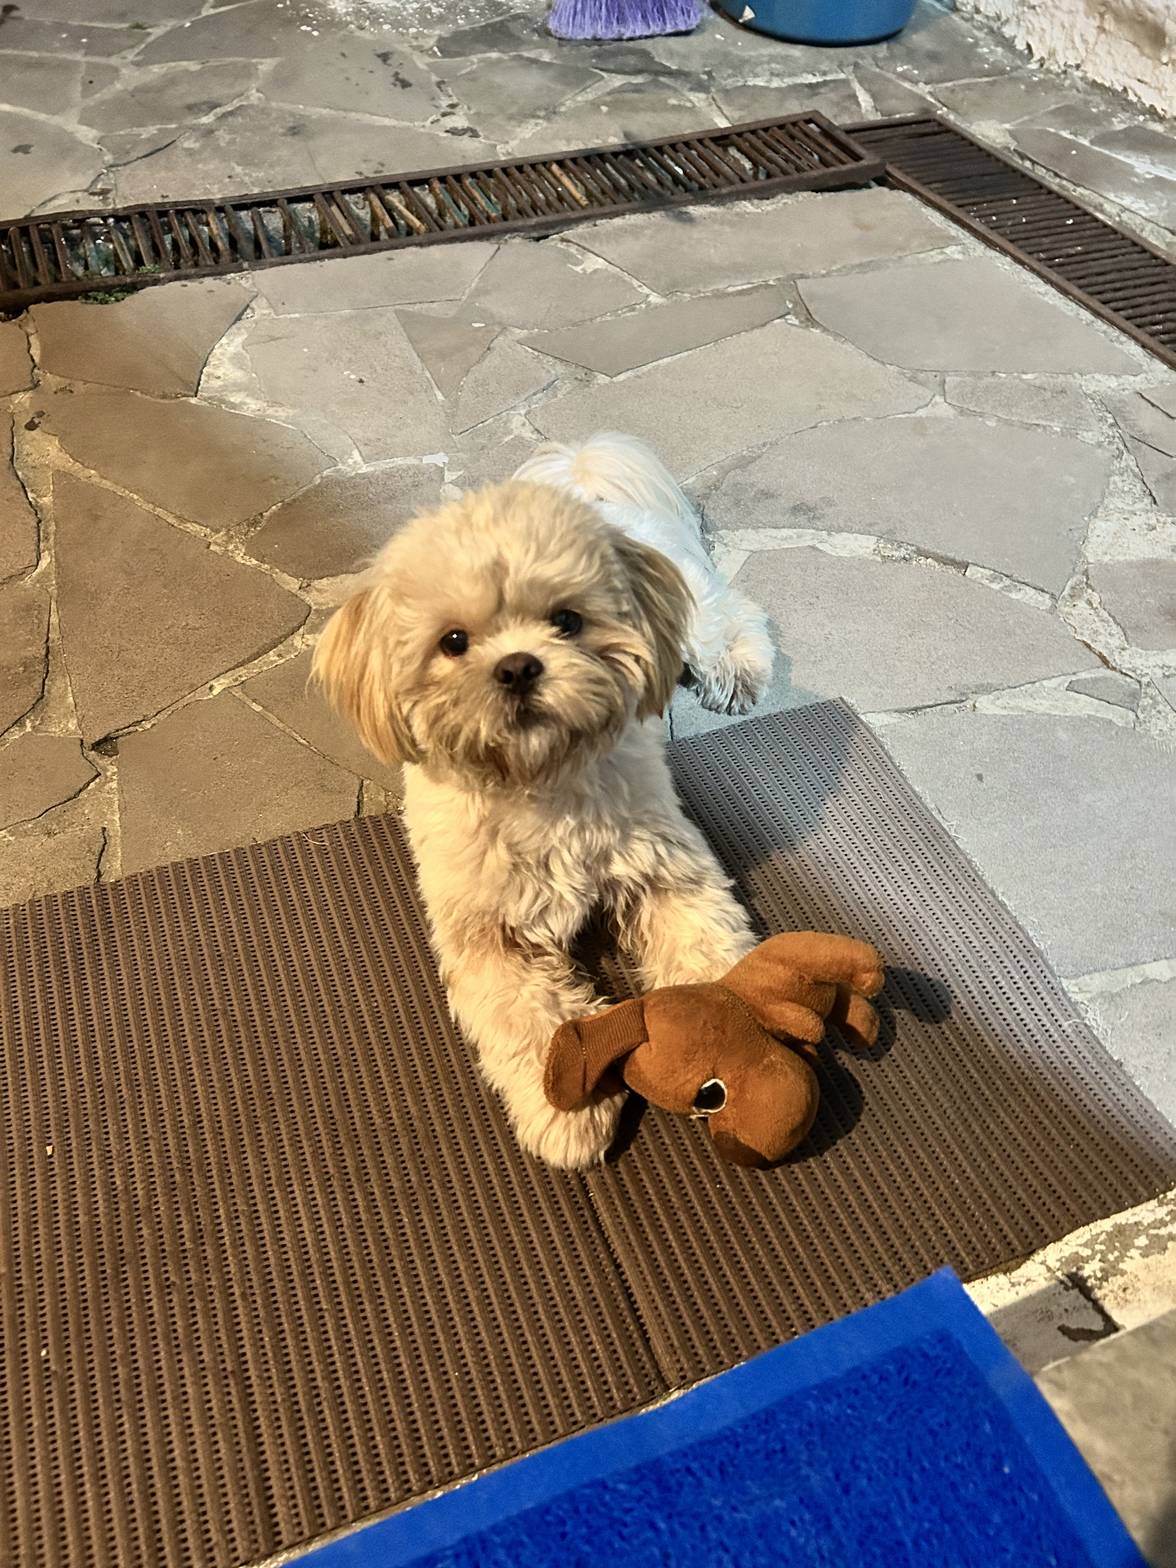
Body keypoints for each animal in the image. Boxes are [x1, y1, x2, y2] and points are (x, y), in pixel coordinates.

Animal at [313, 434, 775, 1168]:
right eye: (453, 641)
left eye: (566, 620)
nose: (519, 666)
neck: (538, 782)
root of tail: (582, 475)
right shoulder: (485, 932)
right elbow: (525, 1017)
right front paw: (565, 1109)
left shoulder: (667, 868)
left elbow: (705, 946)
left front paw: (740, 1034)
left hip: (692, 608)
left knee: (725, 612)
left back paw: (737, 668)